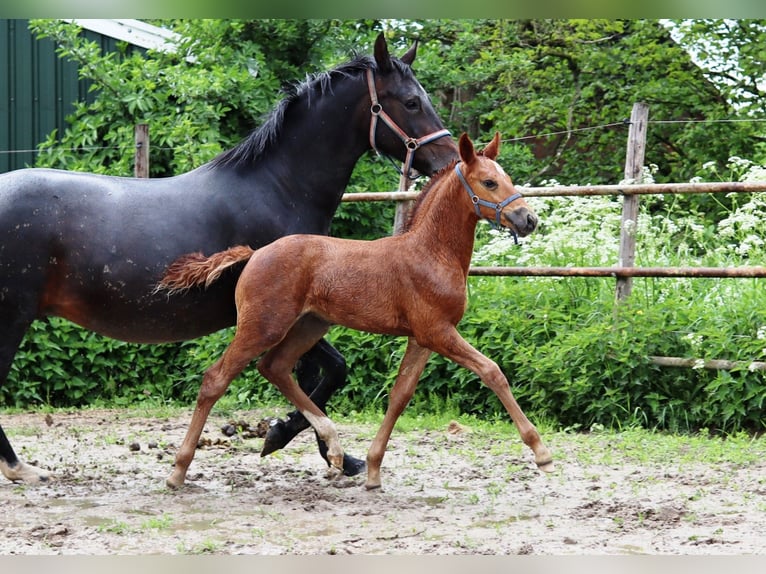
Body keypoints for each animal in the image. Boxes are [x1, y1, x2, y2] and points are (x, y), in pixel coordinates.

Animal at [0, 33, 458, 485]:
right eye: (411, 102)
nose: (451, 160)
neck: (276, 189)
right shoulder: (284, 314)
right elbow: (327, 372)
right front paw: (297, 441)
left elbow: (318, 374)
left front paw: (331, 455)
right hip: (13, 317)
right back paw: (22, 468)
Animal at [157, 132, 554, 490]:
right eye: (489, 182)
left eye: (507, 178)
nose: (528, 219)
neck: (431, 252)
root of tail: (255, 254)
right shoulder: (437, 332)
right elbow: (492, 371)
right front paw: (541, 453)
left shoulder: (423, 338)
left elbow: (400, 395)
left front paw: (374, 470)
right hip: (263, 327)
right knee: (216, 379)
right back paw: (178, 471)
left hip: (309, 325)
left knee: (275, 367)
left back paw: (332, 449)